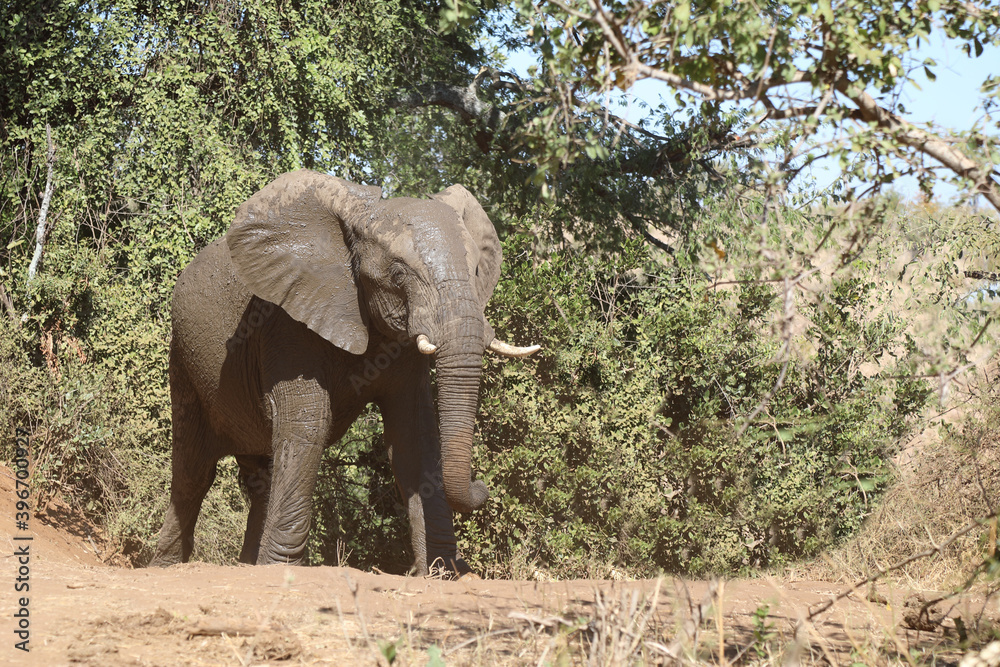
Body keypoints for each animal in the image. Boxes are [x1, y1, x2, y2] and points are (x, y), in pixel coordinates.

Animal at [148, 170, 538, 575]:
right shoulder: (286, 319)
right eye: (398, 274)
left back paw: (249, 566)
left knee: (260, 476)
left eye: (476, 271)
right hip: (183, 359)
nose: (483, 485)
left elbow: (414, 436)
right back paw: (167, 567)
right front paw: (283, 570)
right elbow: (309, 423)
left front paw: (443, 573)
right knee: (193, 471)